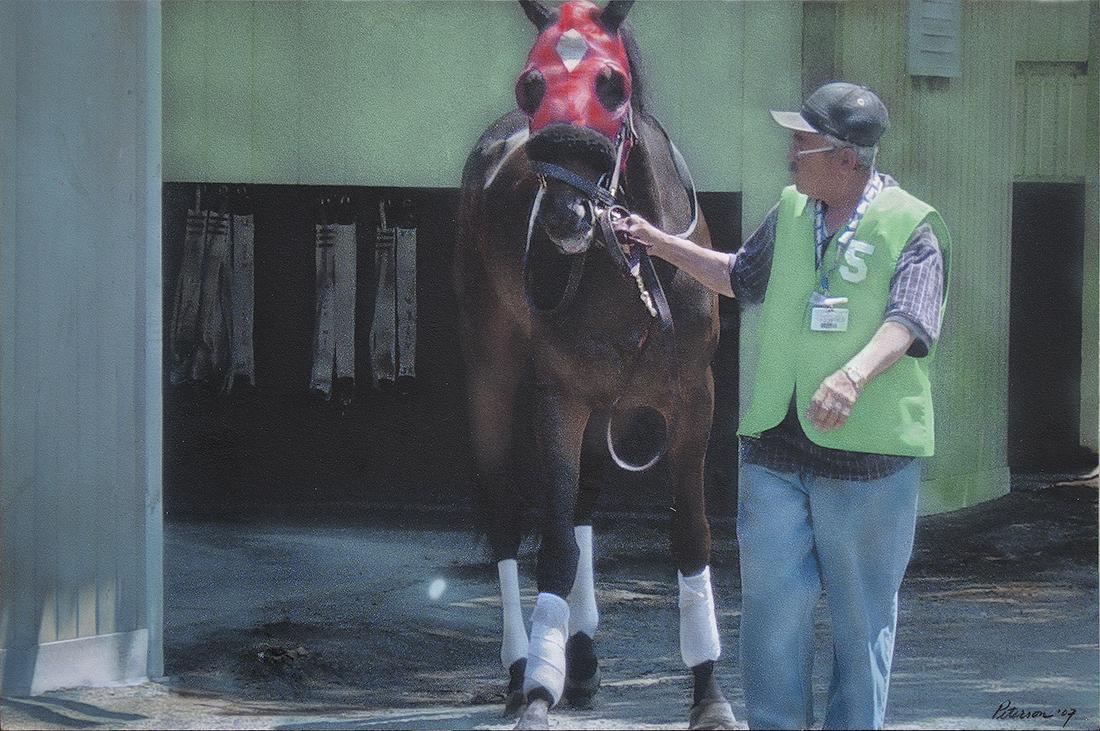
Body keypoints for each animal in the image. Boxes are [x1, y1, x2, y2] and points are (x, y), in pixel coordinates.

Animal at [455, 2, 739, 725]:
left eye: (612, 85)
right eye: (531, 83)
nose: (564, 215)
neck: (626, 263)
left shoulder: (693, 396)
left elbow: (690, 535)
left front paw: (709, 693)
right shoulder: (560, 397)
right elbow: (553, 544)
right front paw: (536, 693)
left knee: (583, 504)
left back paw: (578, 657)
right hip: (492, 370)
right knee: (507, 515)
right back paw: (522, 665)